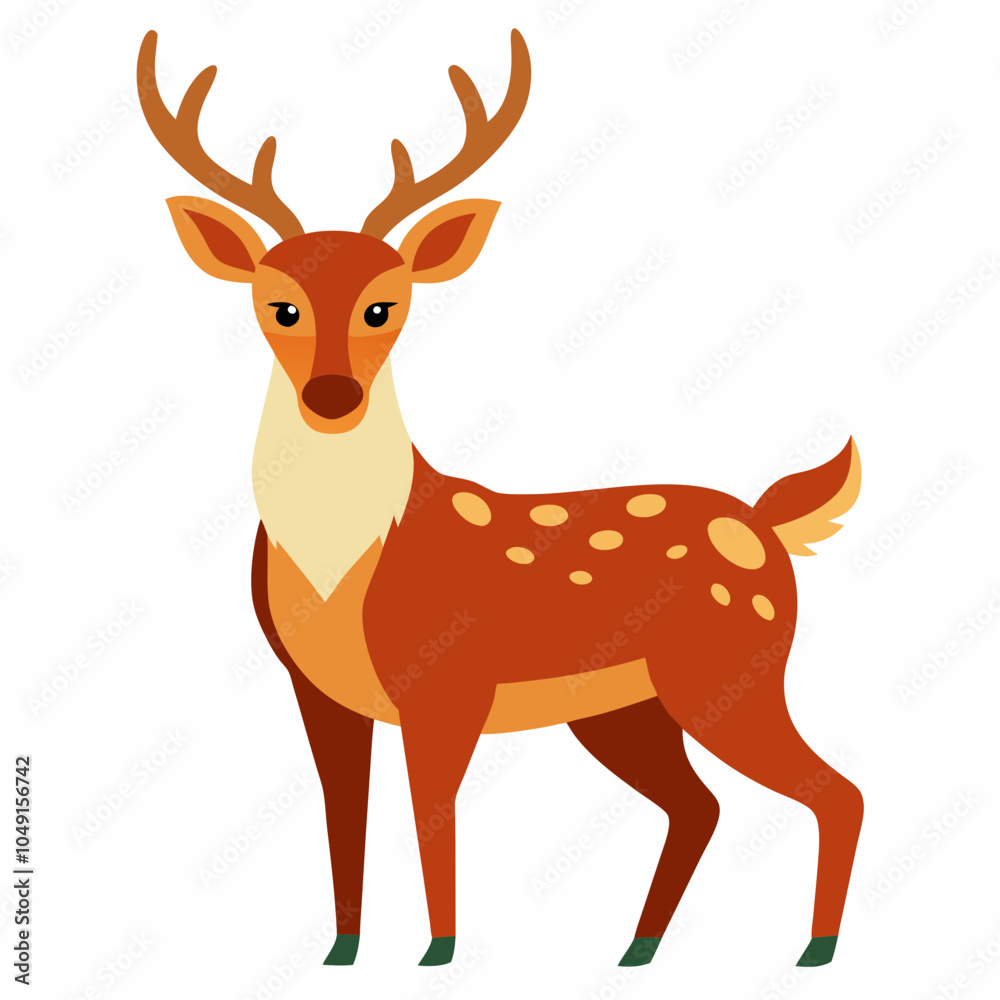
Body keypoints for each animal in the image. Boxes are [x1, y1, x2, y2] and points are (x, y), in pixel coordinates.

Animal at [137, 27, 864, 970]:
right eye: (279, 305)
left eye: (385, 305)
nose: (333, 396)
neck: (344, 566)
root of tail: (769, 524)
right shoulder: (316, 691)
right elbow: (342, 817)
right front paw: (342, 951)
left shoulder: (448, 682)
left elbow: (430, 815)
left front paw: (439, 952)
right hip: (627, 708)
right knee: (701, 805)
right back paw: (637, 949)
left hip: (732, 669)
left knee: (835, 790)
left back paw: (814, 949)